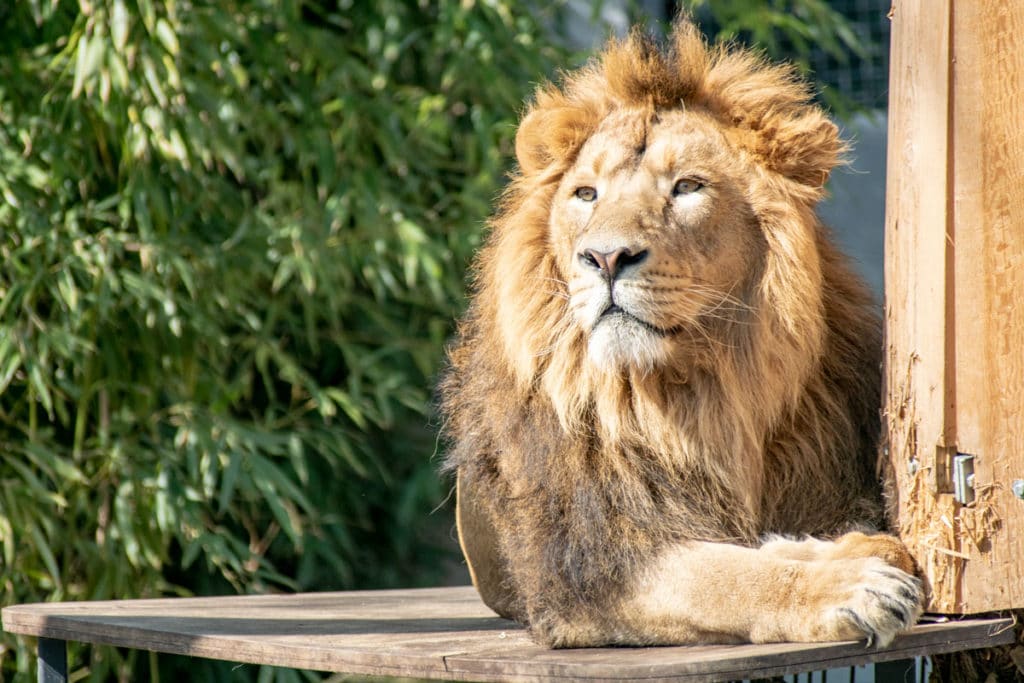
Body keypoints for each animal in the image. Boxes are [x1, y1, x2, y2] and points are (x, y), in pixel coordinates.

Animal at [436, 18, 925, 651]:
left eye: (688, 186)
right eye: (585, 194)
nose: (605, 257)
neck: (698, 392)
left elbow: (875, 544)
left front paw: (833, 550)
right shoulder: (589, 569)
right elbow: (723, 576)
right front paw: (846, 587)